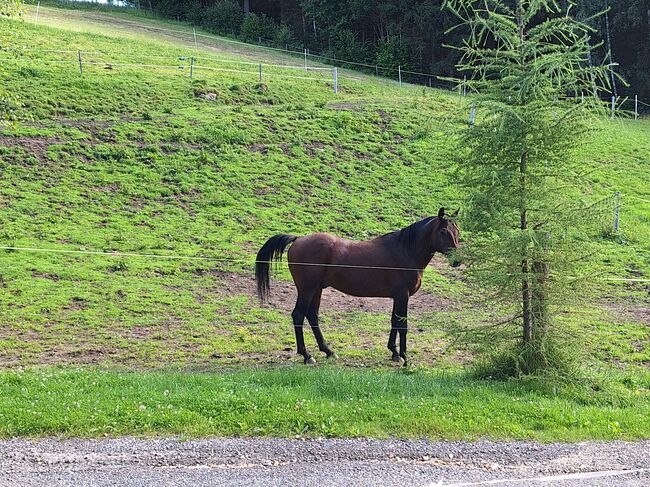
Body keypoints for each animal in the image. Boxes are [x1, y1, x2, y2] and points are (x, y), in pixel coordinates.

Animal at [254, 208, 460, 368]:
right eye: (443, 231)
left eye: (457, 231)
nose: (457, 261)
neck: (405, 250)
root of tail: (298, 239)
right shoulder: (403, 296)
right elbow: (403, 325)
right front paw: (405, 357)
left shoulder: (397, 297)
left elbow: (394, 321)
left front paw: (394, 352)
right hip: (307, 289)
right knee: (298, 315)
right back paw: (307, 355)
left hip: (317, 289)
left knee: (312, 315)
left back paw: (328, 351)